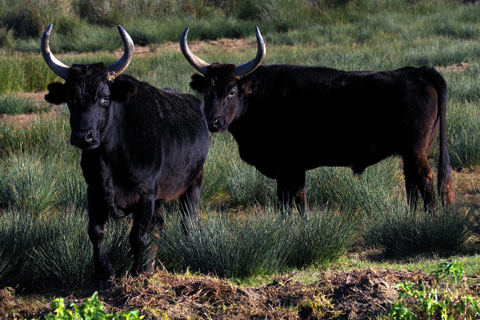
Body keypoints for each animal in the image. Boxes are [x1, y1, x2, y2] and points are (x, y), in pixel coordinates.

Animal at [42, 23, 210, 286]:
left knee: (188, 221)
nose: (83, 136)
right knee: (159, 225)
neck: (110, 159)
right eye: (70, 99)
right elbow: (96, 232)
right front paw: (105, 275)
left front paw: (136, 273)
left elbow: (137, 236)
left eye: (105, 97)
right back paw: (150, 266)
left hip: (194, 183)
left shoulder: (145, 196)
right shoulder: (94, 192)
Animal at [180, 26, 454, 212]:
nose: (213, 121)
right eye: (207, 92)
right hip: (409, 154)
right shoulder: (296, 168)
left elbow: (287, 203)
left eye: (231, 92)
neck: (261, 96)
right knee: (412, 185)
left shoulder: (286, 167)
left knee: (426, 182)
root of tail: (417, 71)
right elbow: (299, 202)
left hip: (416, 152)